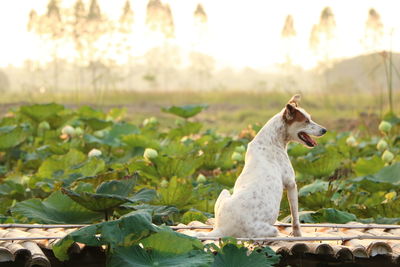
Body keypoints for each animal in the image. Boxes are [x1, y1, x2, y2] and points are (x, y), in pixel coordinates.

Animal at [202, 95, 326, 238]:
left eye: (310, 118)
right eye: (306, 121)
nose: (325, 130)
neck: (272, 141)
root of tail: (222, 229)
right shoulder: (291, 184)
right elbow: (295, 217)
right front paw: (297, 234)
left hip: (224, 192)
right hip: (270, 230)